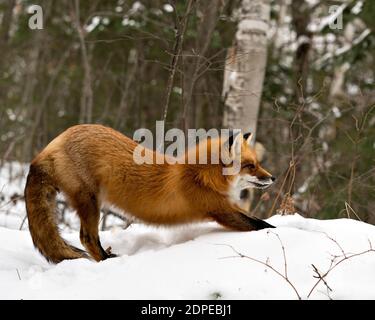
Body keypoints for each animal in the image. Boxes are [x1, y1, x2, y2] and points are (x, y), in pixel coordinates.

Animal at [24, 125, 276, 262]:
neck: (200, 175)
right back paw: (106, 261)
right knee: (87, 238)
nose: (273, 178)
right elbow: (262, 225)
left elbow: (260, 222)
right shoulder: (220, 209)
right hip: (91, 202)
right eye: (251, 166)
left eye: (258, 163)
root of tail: (53, 143)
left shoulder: (229, 206)